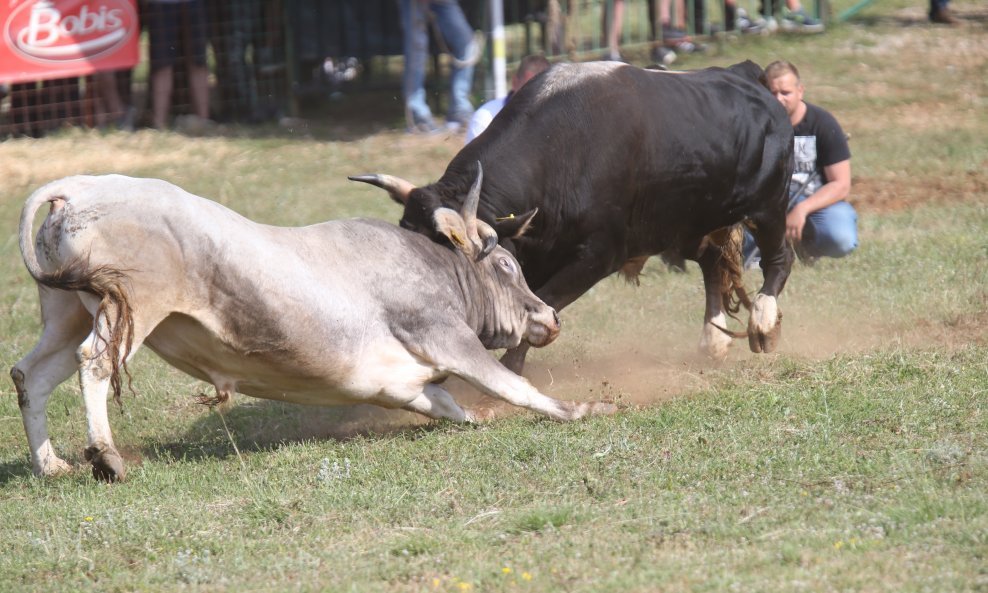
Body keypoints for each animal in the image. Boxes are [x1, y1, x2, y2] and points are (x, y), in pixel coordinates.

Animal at [11, 168, 612, 480]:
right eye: (507, 265)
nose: (549, 315)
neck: (431, 265)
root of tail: (81, 187)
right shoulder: (445, 336)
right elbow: (511, 383)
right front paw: (583, 409)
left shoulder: (404, 385)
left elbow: (452, 406)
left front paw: (477, 418)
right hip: (133, 306)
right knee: (94, 364)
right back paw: (106, 458)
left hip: (68, 311)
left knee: (30, 375)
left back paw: (51, 464)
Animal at [352, 60, 800, 370]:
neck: (562, 150)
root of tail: (745, 75)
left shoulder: (597, 257)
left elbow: (541, 308)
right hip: (686, 224)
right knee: (712, 263)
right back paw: (713, 340)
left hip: (767, 206)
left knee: (780, 258)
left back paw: (763, 322)